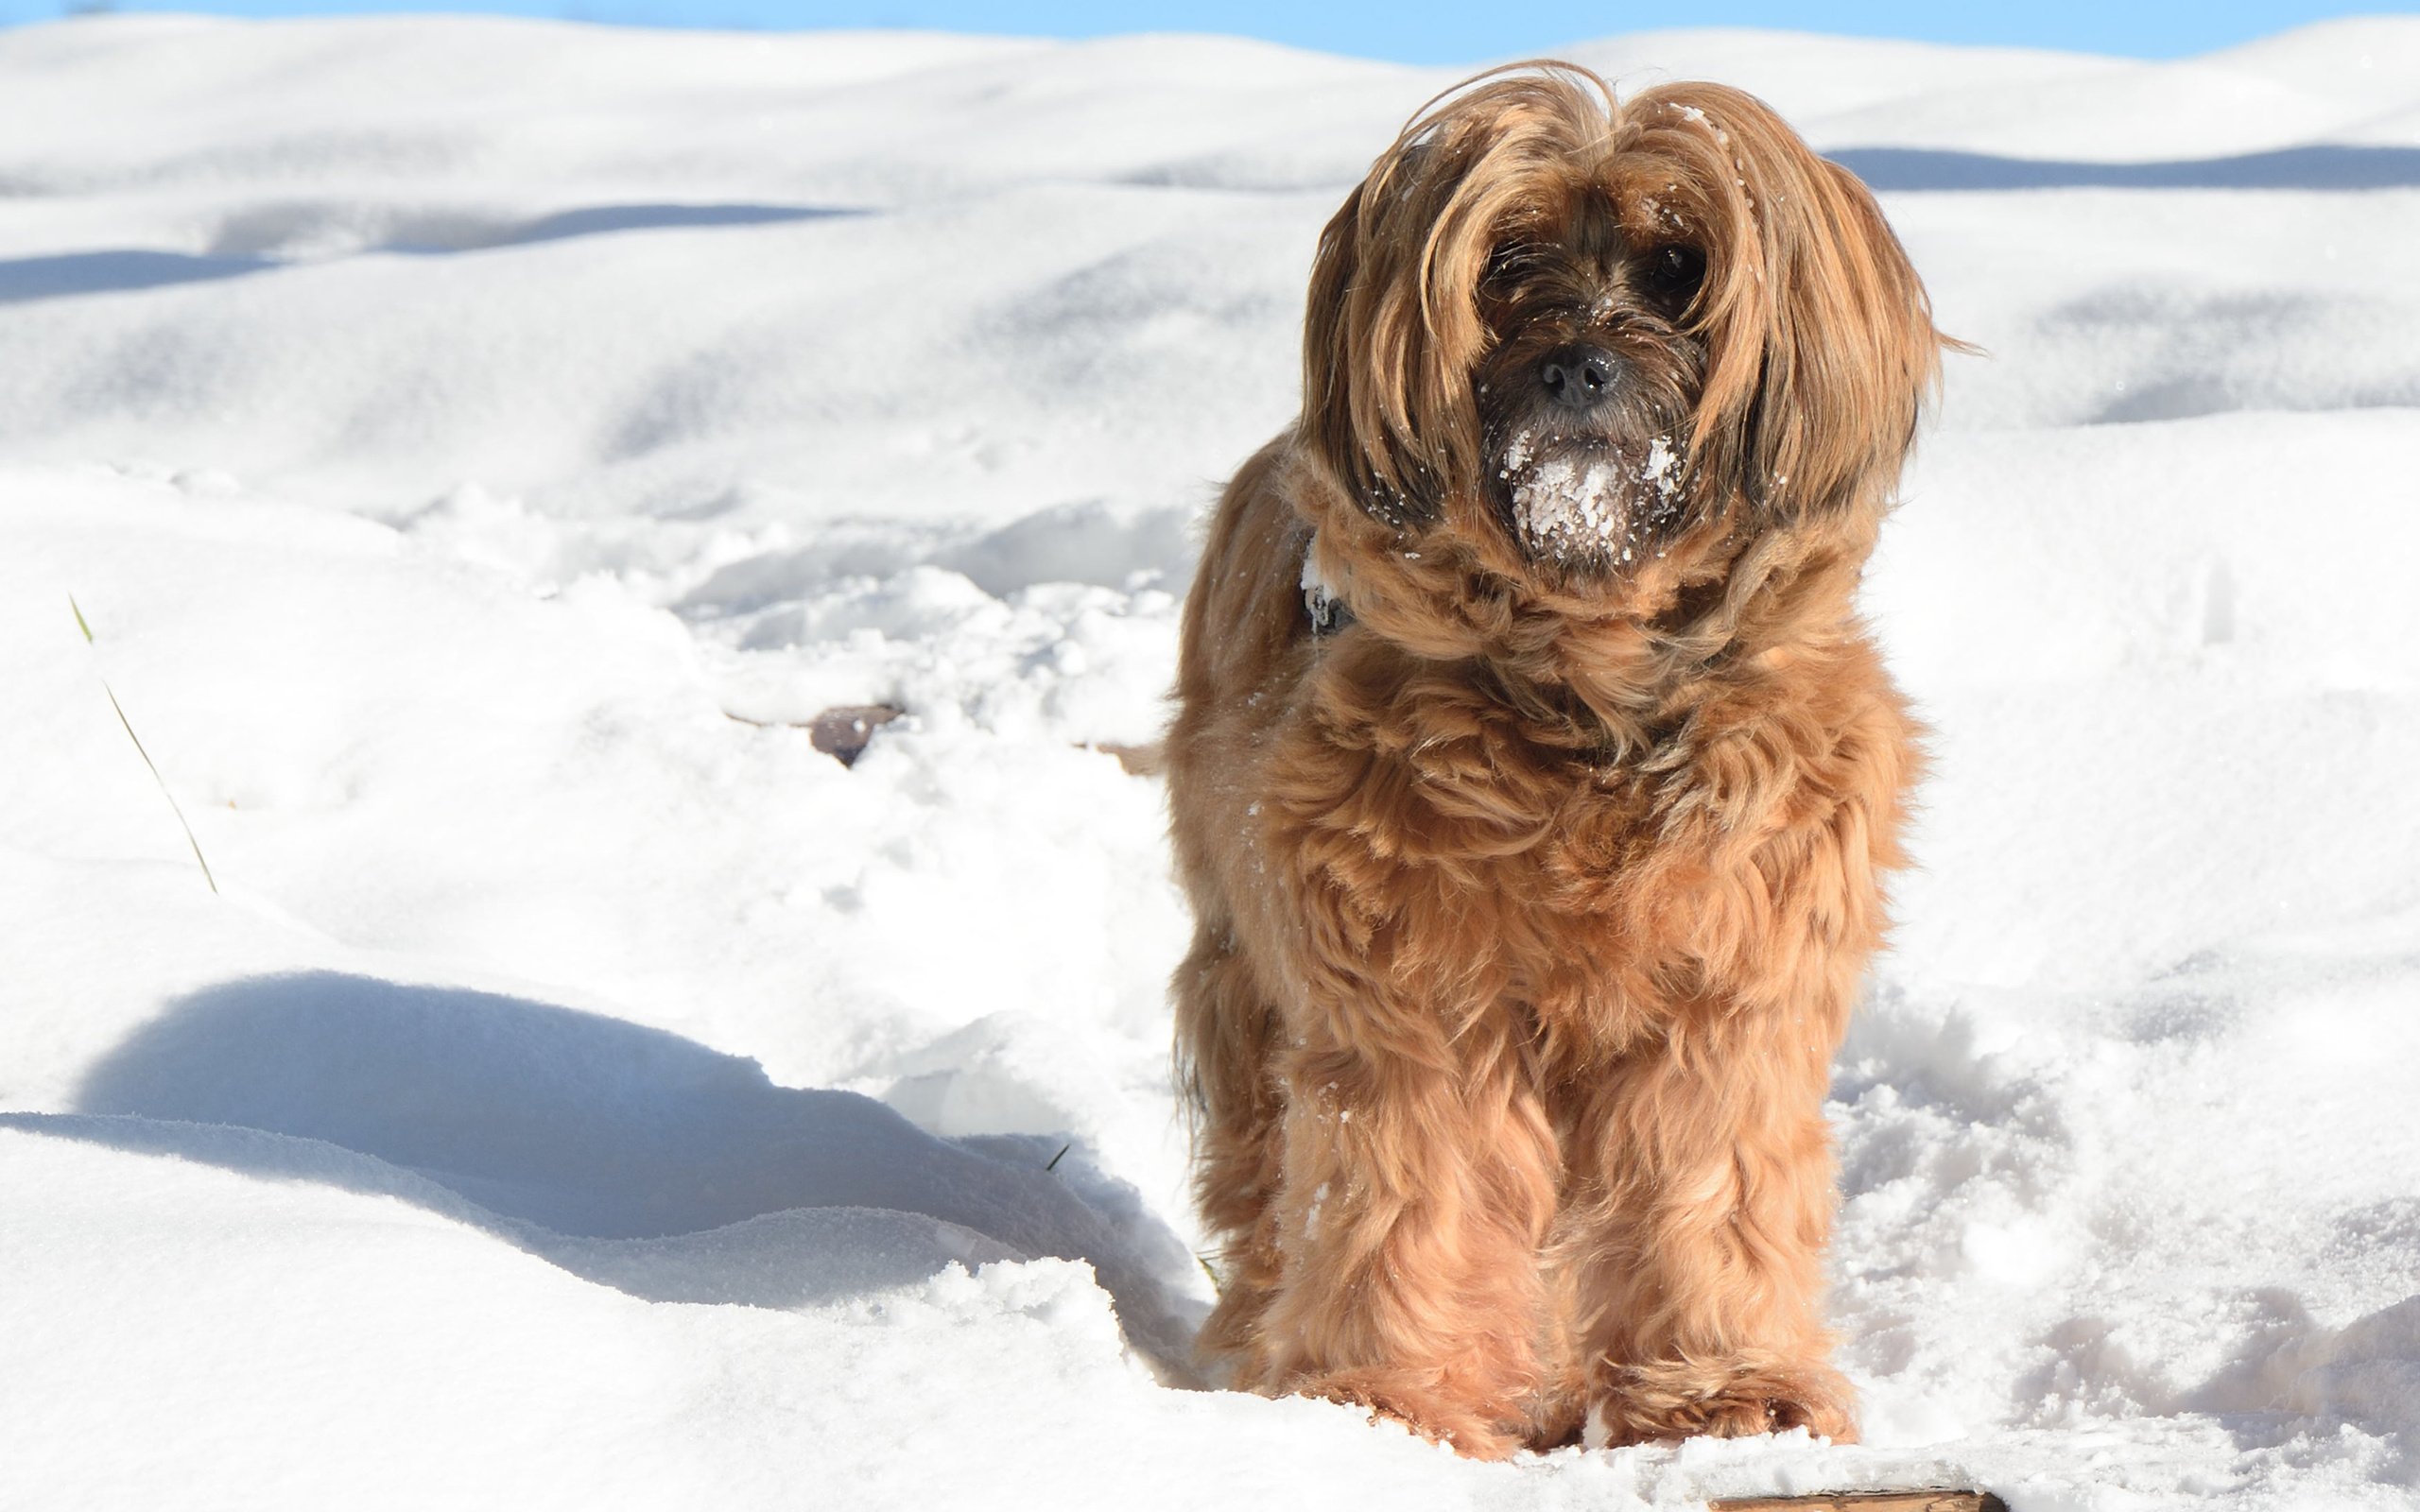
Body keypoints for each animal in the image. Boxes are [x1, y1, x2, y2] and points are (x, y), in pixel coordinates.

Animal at [1156, 64, 1945, 1461]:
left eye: (1680, 266)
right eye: (1508, 262)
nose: (1579, 366)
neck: (1588, 694)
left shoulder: (1723, 1001)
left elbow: (1706, 1185)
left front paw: (1721, 1391)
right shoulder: (1411, 997)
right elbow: (1412, 1188)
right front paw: (1387, 1405)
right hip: (1244, 968)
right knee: (1263, 1171)